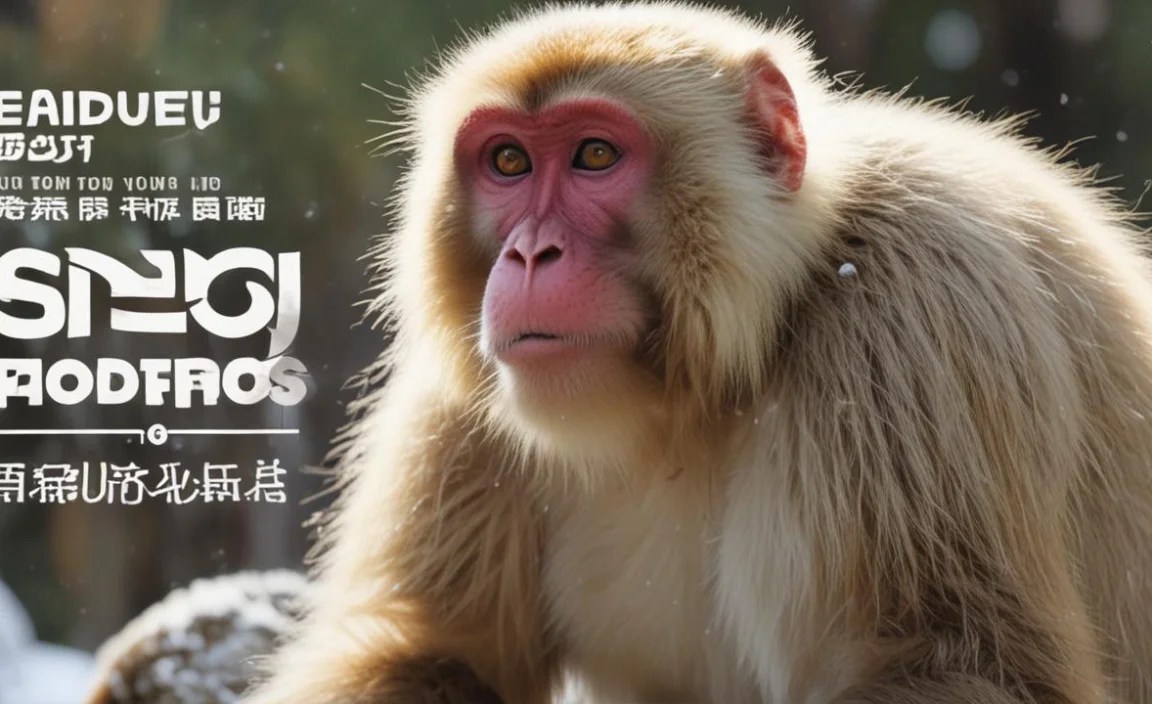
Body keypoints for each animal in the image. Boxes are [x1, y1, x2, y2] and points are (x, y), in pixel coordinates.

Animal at [240, 3, 1152, 703]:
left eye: (595, 155)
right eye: (507, 160)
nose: (529, 255)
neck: (706, 388)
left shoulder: (920, 310)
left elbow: (971, 667)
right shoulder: (470, 391)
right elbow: (434, 653)